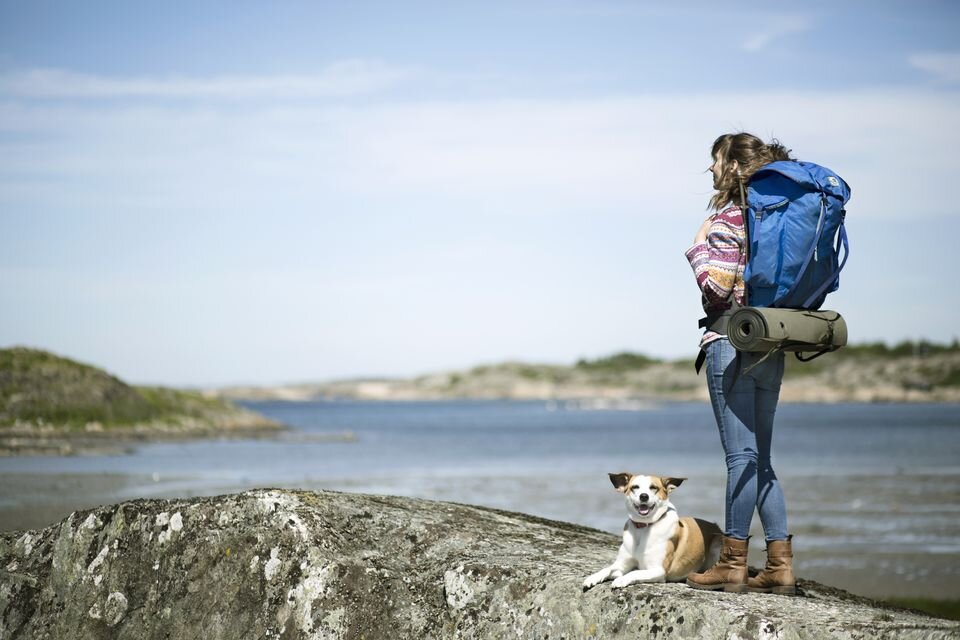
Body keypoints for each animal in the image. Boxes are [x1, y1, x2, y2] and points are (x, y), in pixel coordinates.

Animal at [576, 470, 720, 592]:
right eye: (635, 487)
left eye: (653, 488)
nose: (644, 496)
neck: (643, 527)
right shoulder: (622, 565)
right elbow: (608, 568)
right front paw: (593, 577)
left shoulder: (658, 570)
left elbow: (634, 572)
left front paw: (621, 580)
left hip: (716, 543)